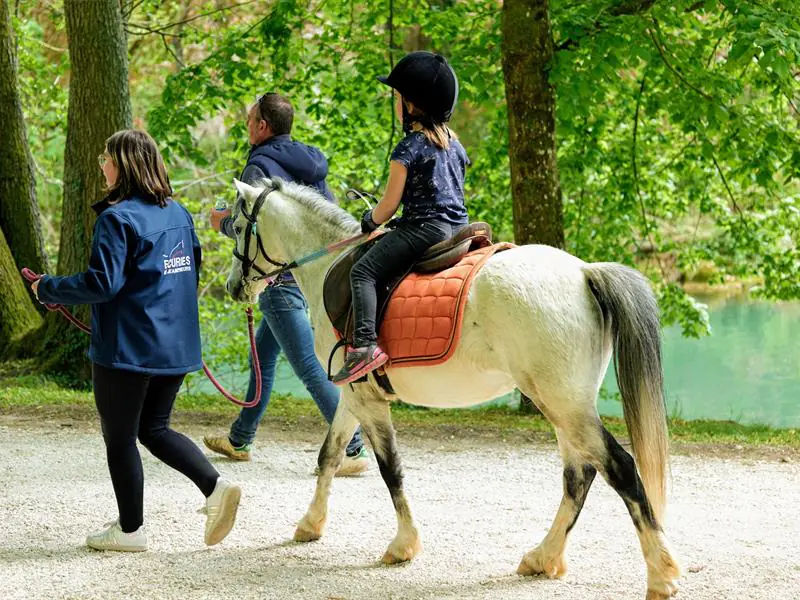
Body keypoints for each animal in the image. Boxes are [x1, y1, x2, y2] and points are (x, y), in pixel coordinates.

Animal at [225, 179, 680, 600]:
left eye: (238, 227)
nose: (232, 287)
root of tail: (584, 273)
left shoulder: (366, 400)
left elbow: (390, 469)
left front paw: (403, 545)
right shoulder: (354, 395)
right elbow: (330, 455)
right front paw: (311, 524)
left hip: (563, 404)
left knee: (619, 468)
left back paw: (661, 575)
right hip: (563, 404)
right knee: (579, 475)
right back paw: (544, 557)